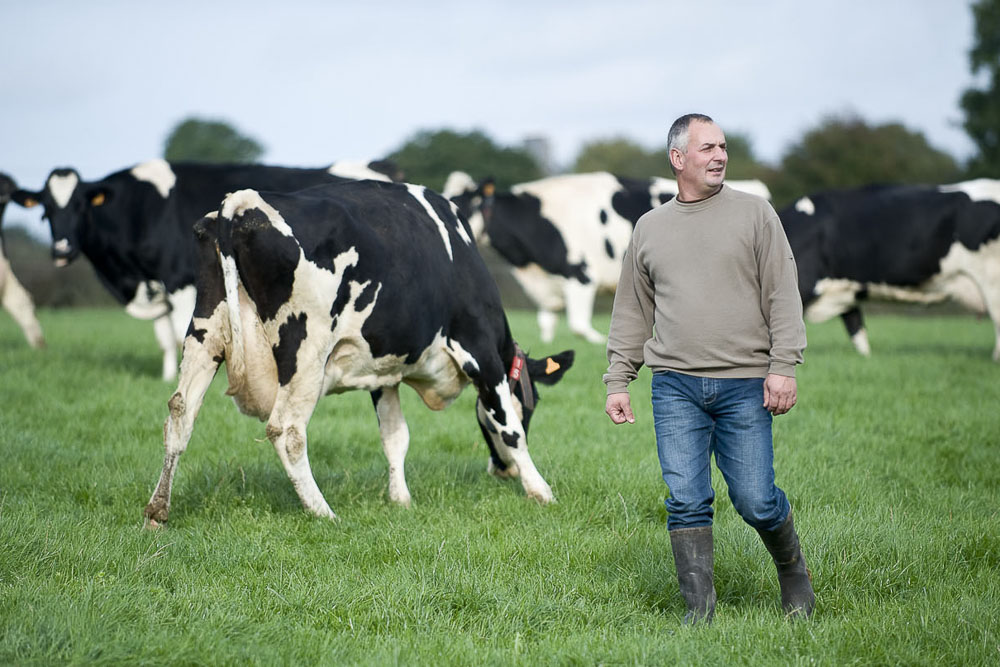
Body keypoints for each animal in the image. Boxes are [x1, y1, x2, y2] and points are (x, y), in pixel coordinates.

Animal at [13, 157, 400, 384]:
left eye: (80, 207)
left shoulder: (180, 280)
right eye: (46, 211)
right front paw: (167, 377)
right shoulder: (156, 283)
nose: (61, 250)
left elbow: (185, 333)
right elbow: (164, 336)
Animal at [145, 180, 576, 524]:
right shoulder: (480, 352)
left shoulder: (383, 372)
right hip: (305, 348)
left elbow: (395, 436)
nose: (501, 472)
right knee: (286, 430)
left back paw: (157, 511)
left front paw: (400, 499)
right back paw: (323, 511)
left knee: (180, 413)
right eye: (532, 407)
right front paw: (540, 490)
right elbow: (510, 428)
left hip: (205, 332)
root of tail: (241, 202)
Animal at [446, 172, 772, 344]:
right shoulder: (549, 286)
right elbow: (546, 327)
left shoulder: (581, 276)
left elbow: (579, 326)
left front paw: (602, 343)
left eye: (461, 205)